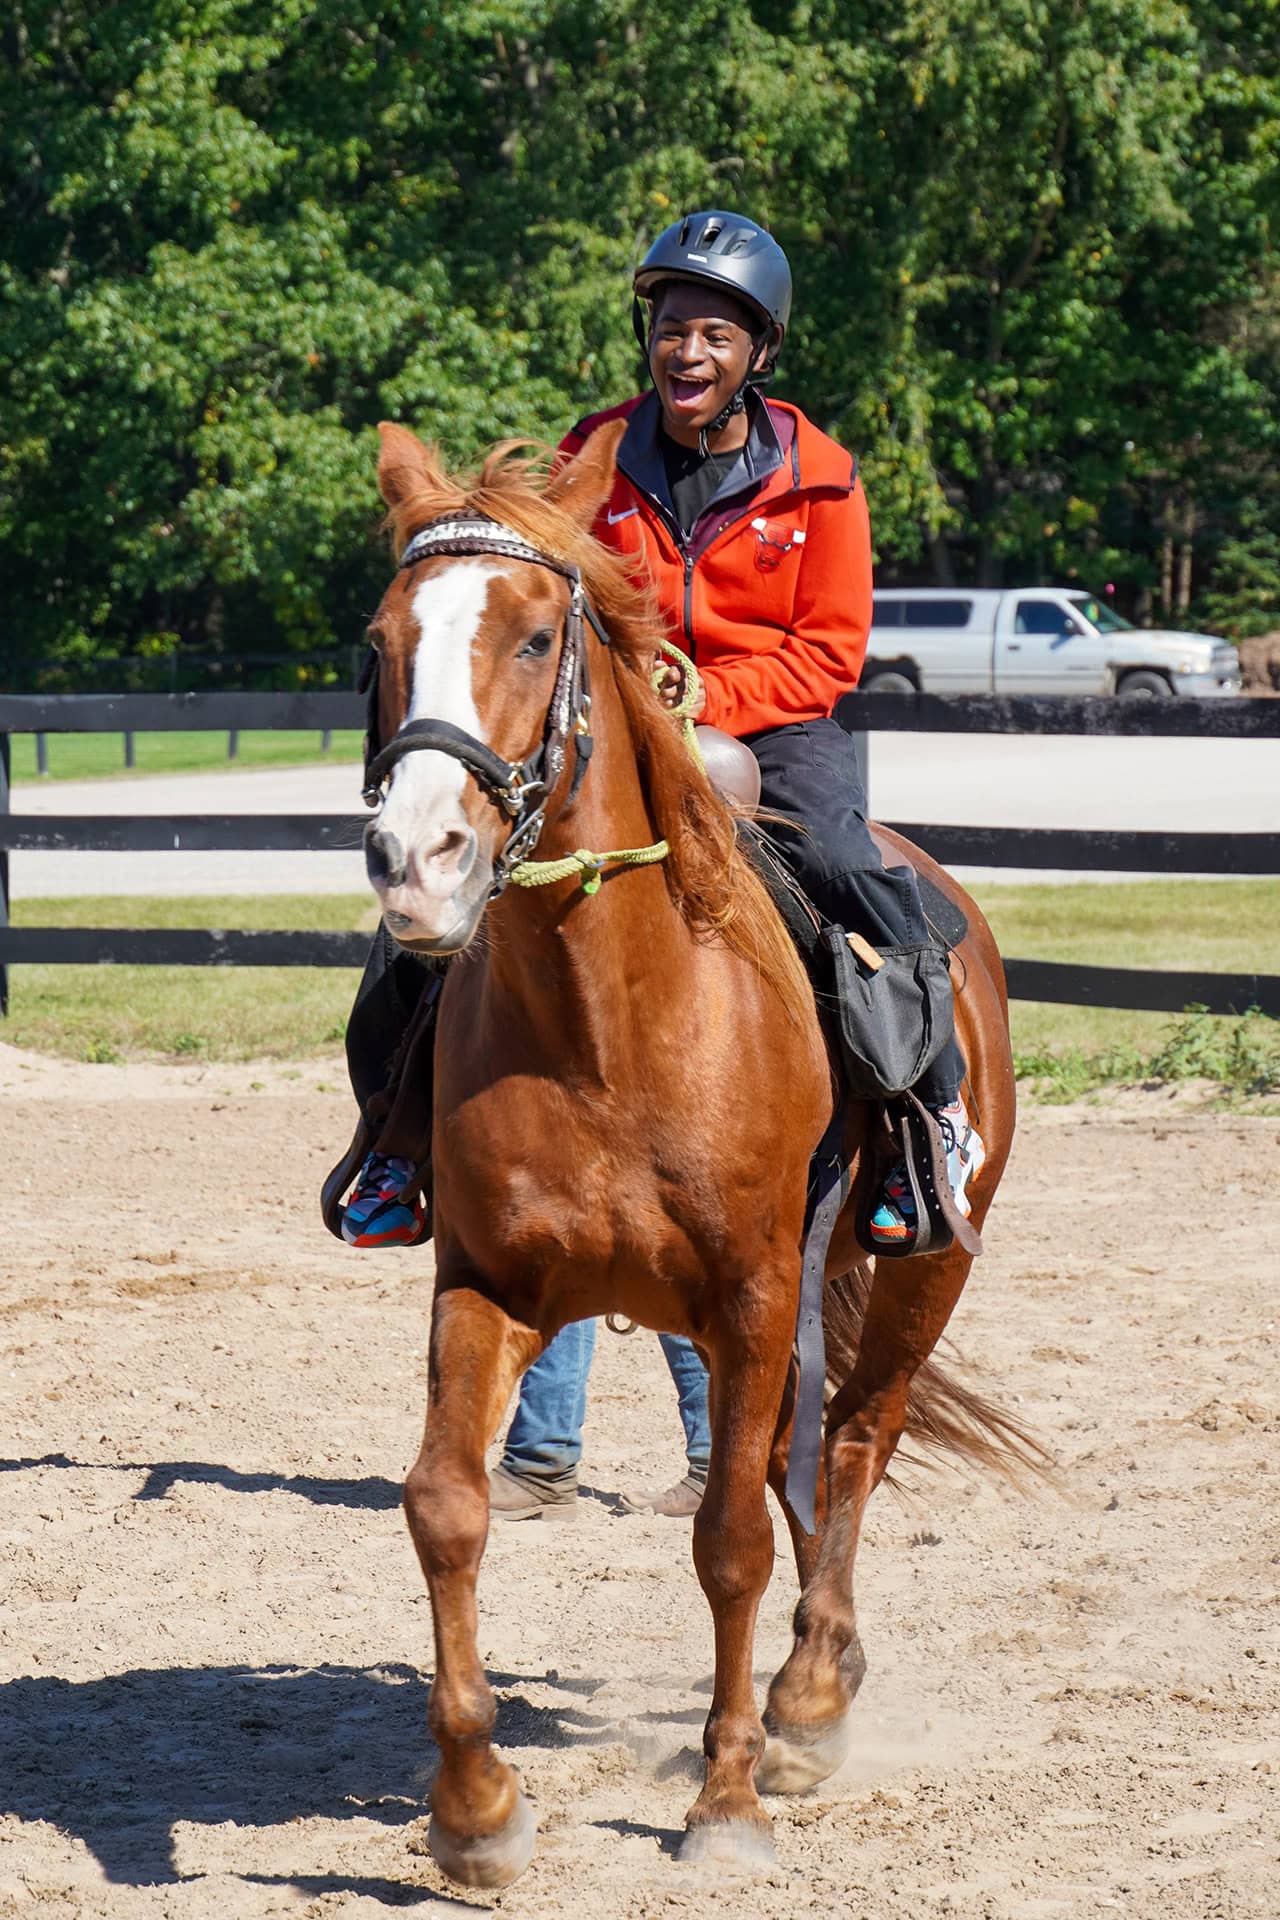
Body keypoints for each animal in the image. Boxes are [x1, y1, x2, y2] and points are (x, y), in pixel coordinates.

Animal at [358, 417, 1029, 1887]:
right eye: (379, 641)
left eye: (536, 635)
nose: (417, 859)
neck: (611, 1021)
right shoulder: (485, 1285)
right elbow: (444, 1504)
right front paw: (474, 1808)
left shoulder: (752, 1297)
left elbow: (729, 1543)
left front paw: (725, 1800)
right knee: (800, 1462)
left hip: (915, 1275)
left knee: (852, 1445)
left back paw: (809, 1702)